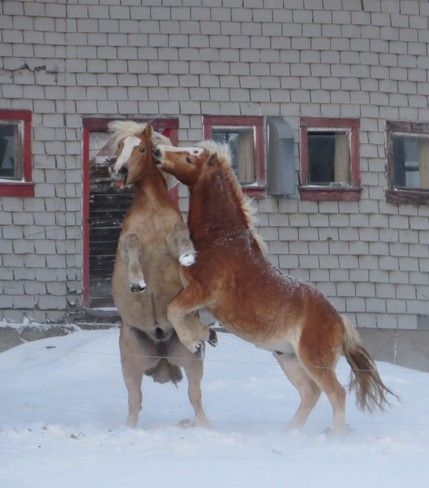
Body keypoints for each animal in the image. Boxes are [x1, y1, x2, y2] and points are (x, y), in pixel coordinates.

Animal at [108, 123, 216, 428]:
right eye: (120, 148)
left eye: (142, 149)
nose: (118, 170)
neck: (152, 211)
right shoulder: (128, 244)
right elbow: (132, 245)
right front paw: (137, 283)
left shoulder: (175, 236)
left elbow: (182, 241)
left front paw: (188, 256)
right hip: (131, 365)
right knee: (135, 403)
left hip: (192, 364)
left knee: (195, 398)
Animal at [153, 141, 394, 434]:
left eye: (190, 157)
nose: (157, 152)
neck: (220, 240)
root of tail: (338, 320)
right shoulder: (193, 294)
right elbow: (184, 315)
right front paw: (204, 337)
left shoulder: (202, 292)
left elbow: (173, 310)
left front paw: (193, 344)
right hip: (287, 358)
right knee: (310, 393)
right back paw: (290, 432)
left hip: (313, 361)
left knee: (336, 394)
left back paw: (333, 435)